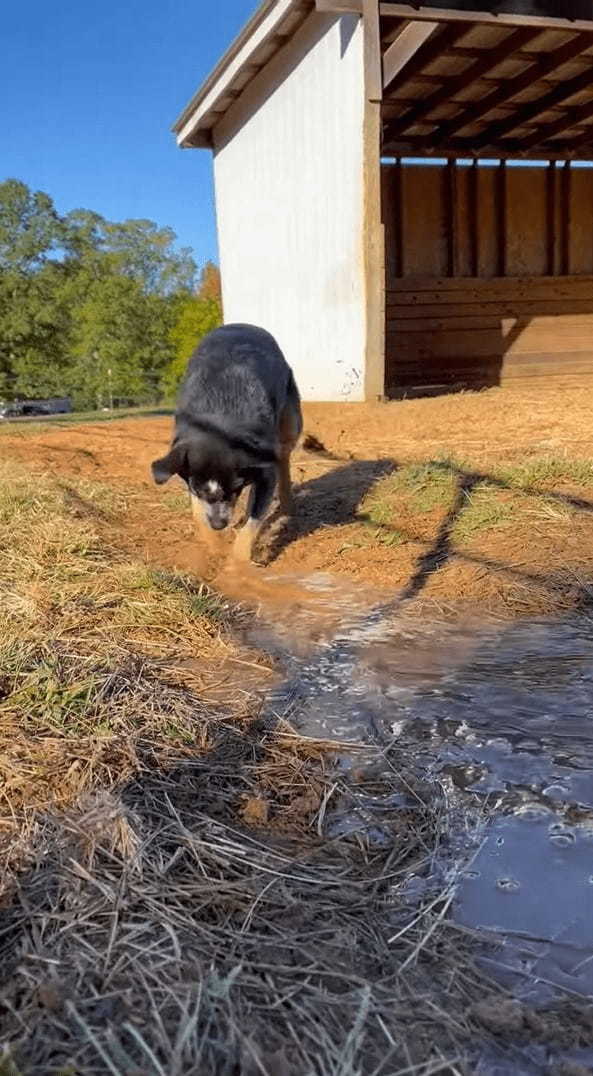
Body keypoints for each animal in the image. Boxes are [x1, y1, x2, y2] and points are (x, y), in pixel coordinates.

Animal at [150, 322, 303, 563]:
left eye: (236, 488)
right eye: (199, 490)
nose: (219, 524)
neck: (218, 424)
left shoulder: (265, 468)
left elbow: (254, 521)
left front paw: (237, 565)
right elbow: (198, 512)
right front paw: (215, 550)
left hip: (292, 418)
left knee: (284, 457)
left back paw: (288, 506)